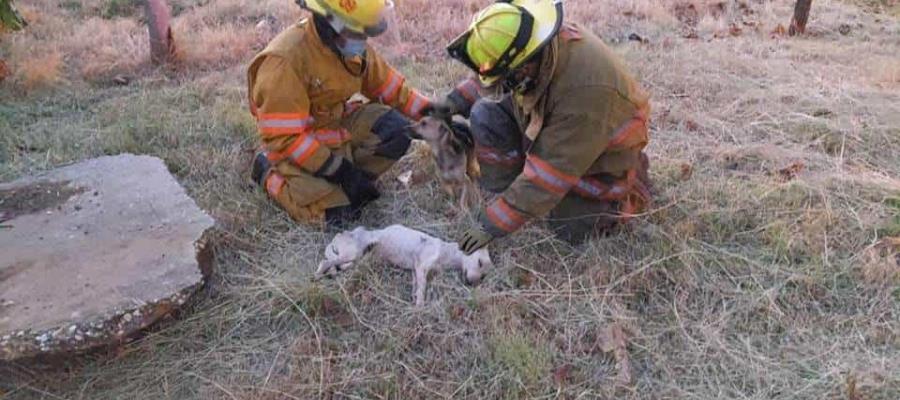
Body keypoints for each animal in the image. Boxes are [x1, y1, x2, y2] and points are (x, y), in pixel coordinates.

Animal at [316, 225, 496, 306]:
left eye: (483, 276)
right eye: (479, 263)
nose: (472, 283)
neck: (446, 253)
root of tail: (337, 237)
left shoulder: (415, 270)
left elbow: (416, 287)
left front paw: (414, 300)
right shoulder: (421, 266)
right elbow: (422, 289)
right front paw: (419, 307)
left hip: (355, 259)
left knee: (338, 266)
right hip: (352, 253)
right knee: (325, 262)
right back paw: (318, 274)